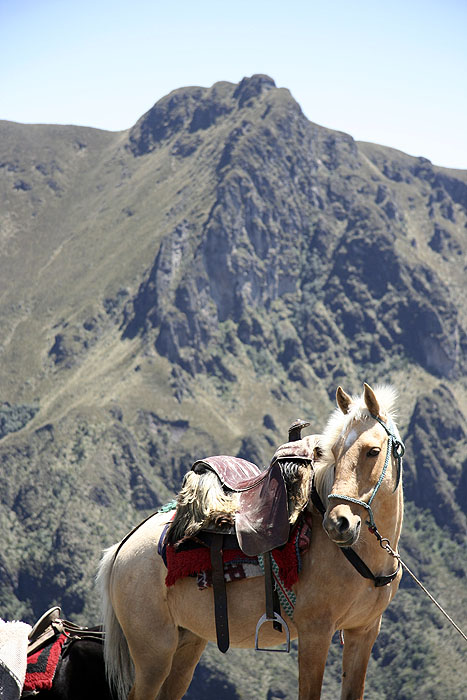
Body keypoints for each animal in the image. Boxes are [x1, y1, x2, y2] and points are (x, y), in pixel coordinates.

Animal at [98, 386, 406, 696]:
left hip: (187, 644)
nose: (338, 523)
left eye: (373, 451)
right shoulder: (315, 633)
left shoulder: (363, 633)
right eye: (333, 452)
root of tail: (122, 547)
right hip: (154, 655)